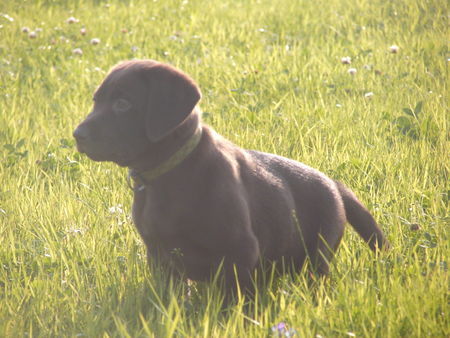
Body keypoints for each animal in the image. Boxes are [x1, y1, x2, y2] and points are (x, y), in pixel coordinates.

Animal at [73, 59, 386, 294]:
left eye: (123, 104)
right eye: (96, 101)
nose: (77, 134)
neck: (167, 174)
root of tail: (334, 184)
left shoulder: (240, 250)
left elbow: (233, 302)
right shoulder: (159, 254)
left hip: (316, 254)